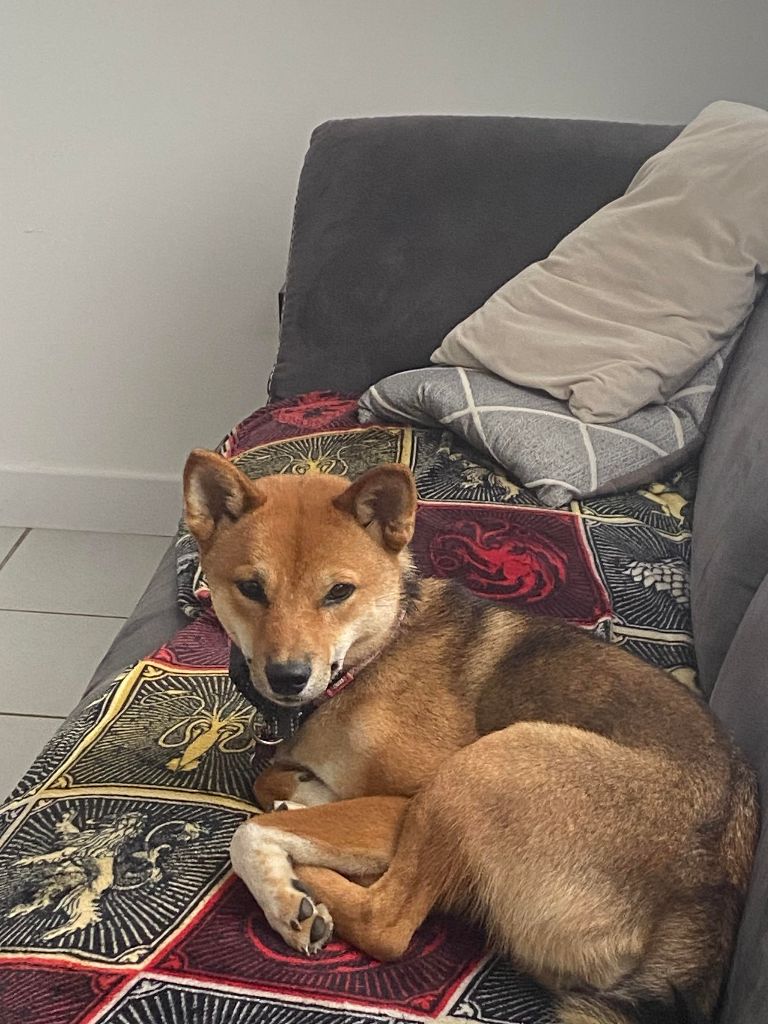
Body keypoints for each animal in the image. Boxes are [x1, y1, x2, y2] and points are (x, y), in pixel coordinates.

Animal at [183, 450, 758, 1024]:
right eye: (252, 589)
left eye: (338, 592)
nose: (287, 678)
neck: (371, 657)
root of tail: (701, 914)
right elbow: (269, 779)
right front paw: (304, 796)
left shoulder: (406, 801)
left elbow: (247, 832)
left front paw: (283, 892)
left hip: (489, 763)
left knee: (385, 922)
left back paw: (309, 872)